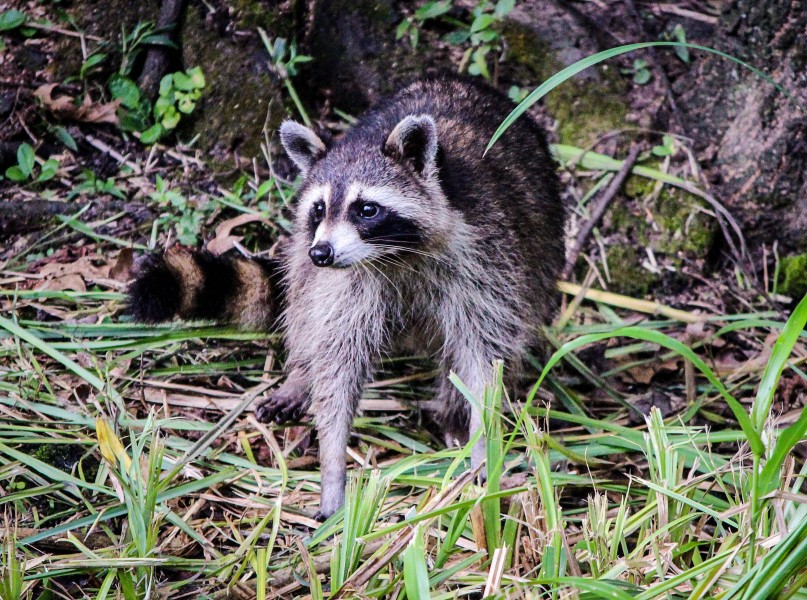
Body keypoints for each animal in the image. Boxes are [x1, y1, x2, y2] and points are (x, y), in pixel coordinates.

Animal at [128, 77, 568, 520]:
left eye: (367, 209)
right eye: (319, 208)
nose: (322, 252)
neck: (394, 256)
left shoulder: (485, 258)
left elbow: (484, 356)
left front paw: (482, 443)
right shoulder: (347, 283)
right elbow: (336, 358)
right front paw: (332, 464)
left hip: (542, 251)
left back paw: (452, 411)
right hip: (305, 258)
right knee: (303, 300)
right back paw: (301, 373)